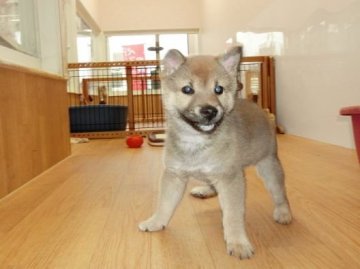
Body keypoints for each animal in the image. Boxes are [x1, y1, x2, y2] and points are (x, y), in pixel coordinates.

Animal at [138, 47, 292, 258]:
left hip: (268, 166)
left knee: (279, 193)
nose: (209, 110)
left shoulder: (230, 178)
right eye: (187, 89)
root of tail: (261, 109)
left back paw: (284, 213)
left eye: (218, 89)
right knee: (211, 183)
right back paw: (205, 190)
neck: (197, 141)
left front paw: (237, 242)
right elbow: (165, 204)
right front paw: (156, 222)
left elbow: (233, 214)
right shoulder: (174, 175)